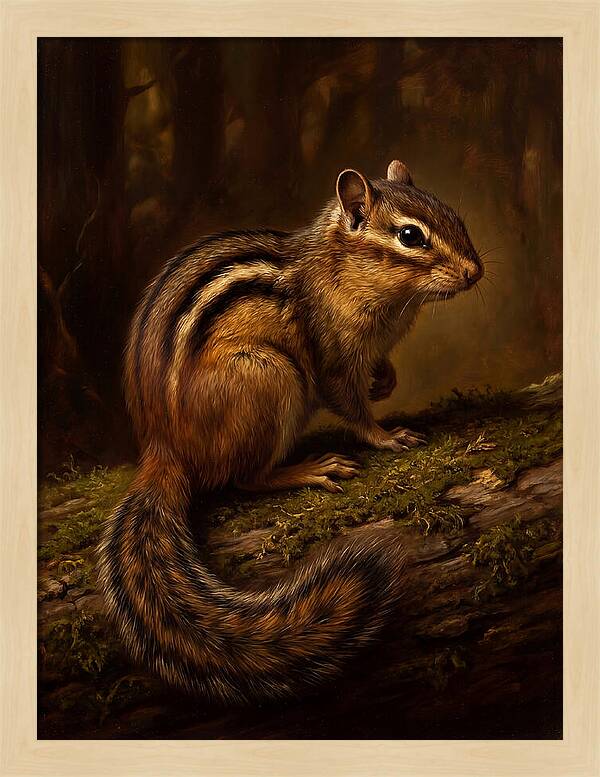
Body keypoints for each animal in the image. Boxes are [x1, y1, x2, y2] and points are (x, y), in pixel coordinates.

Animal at [97, 159, 483, 703]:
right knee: (243, 478)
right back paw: (310, 469)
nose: (476, 271)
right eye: (411, 236)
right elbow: (350, 406)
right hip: (270, 376)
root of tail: (164, 448)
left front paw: (386, 380)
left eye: (455, 216)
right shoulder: (332, 357)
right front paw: (387, 436)